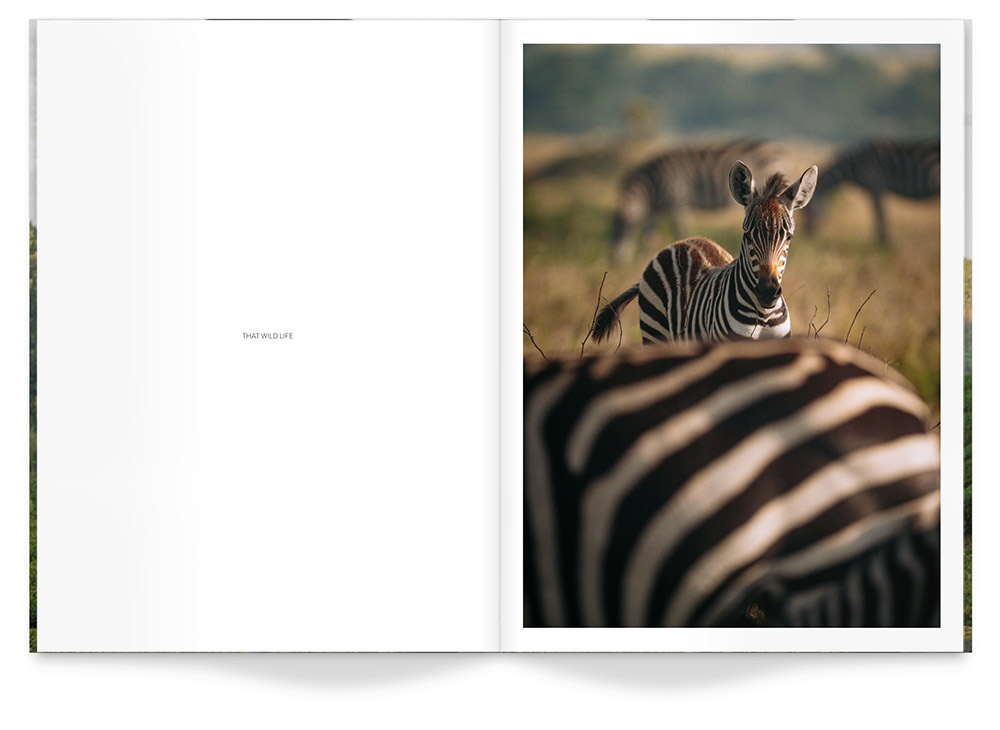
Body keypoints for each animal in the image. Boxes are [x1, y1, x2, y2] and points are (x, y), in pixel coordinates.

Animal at [594, 161, 817, 345]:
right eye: (747, 235)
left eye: (789, 237)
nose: (767, 292)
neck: (763, 316)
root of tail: (682, 242)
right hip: (654, 333)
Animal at [610, 139, 784, 263]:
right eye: (612, 231)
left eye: (623, 227)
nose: (615, 263)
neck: (653, 186)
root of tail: (777, 148)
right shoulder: (655, 211)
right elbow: (650, 234)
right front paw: (645, 256)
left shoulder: (678, 200)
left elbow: (681, 229)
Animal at [801, 139, 940, 248]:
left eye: (807, 211)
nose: (806, 234)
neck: (856, 164)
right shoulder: (875, 189)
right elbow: (879, 215)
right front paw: (883, 243)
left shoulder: (876, 186)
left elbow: (880, 216)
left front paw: (884, 244)